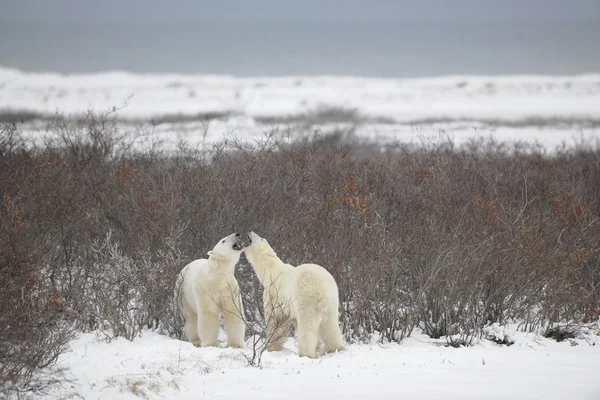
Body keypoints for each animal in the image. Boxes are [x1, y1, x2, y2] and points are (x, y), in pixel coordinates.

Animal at [244, 230, 346, 358]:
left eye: (262, 238)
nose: (250, 231)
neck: (271, 269)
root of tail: (323, 290)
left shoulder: (273, 294)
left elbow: (275, 321)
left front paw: (272, 348)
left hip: (305, 299)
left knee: (307, 327)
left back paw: (306, 354)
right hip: (332, 302)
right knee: (330, 325)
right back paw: (336, 348)